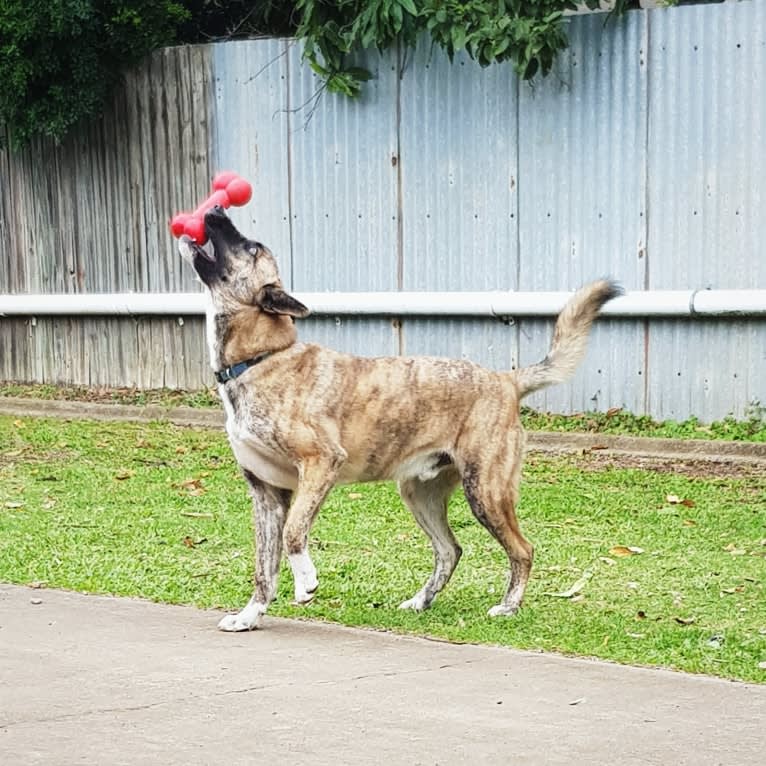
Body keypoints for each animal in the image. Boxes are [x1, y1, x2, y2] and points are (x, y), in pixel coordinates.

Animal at [180, 207, 624, 632]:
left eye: (252, 247)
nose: (214, 209)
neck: (260, 359)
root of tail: (505, 380)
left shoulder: (321, 463)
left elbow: (294, 533)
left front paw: (306, 581)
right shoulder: (267, 494)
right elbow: (264, 567)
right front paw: (250, 615)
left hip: (486, 492)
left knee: (522, 550)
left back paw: (509, 606)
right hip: (419, 493)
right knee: (450, 550)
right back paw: (421, 600)